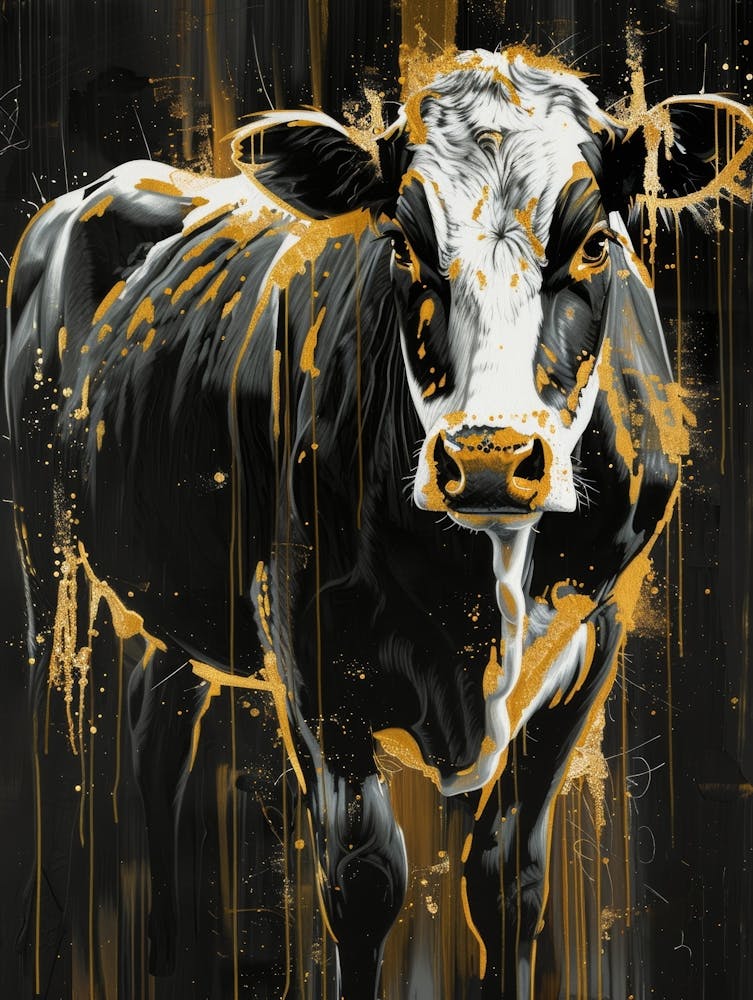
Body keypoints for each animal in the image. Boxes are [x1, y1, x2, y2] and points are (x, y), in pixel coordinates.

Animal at [6, 45, 750, 999]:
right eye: (401, 240)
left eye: (595, 243)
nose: (486, 456)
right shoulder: (309, 643)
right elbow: (363, 882)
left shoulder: (593, 644)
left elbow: (507, 879)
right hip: (41, 543)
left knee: (155, 730)